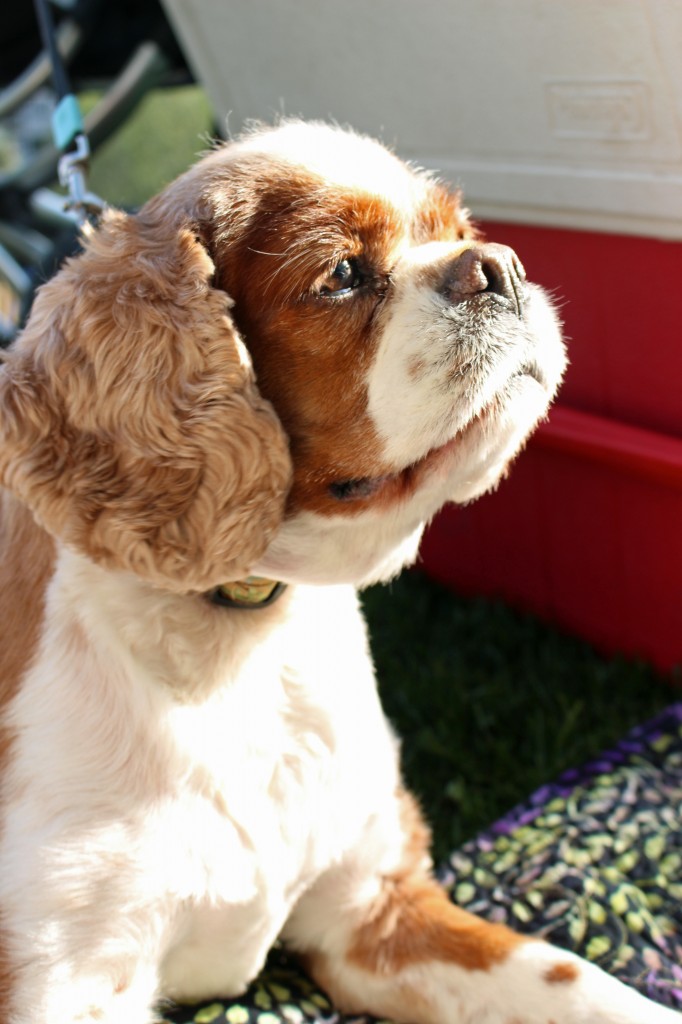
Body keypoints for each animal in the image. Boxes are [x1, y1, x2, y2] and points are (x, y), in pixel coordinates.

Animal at [0, 125, 671, 1024]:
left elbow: (576, 981)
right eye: (343, 273)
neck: (240, 638)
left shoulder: (376, 911)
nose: (499, 265)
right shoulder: (66, 974)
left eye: (460, 229)